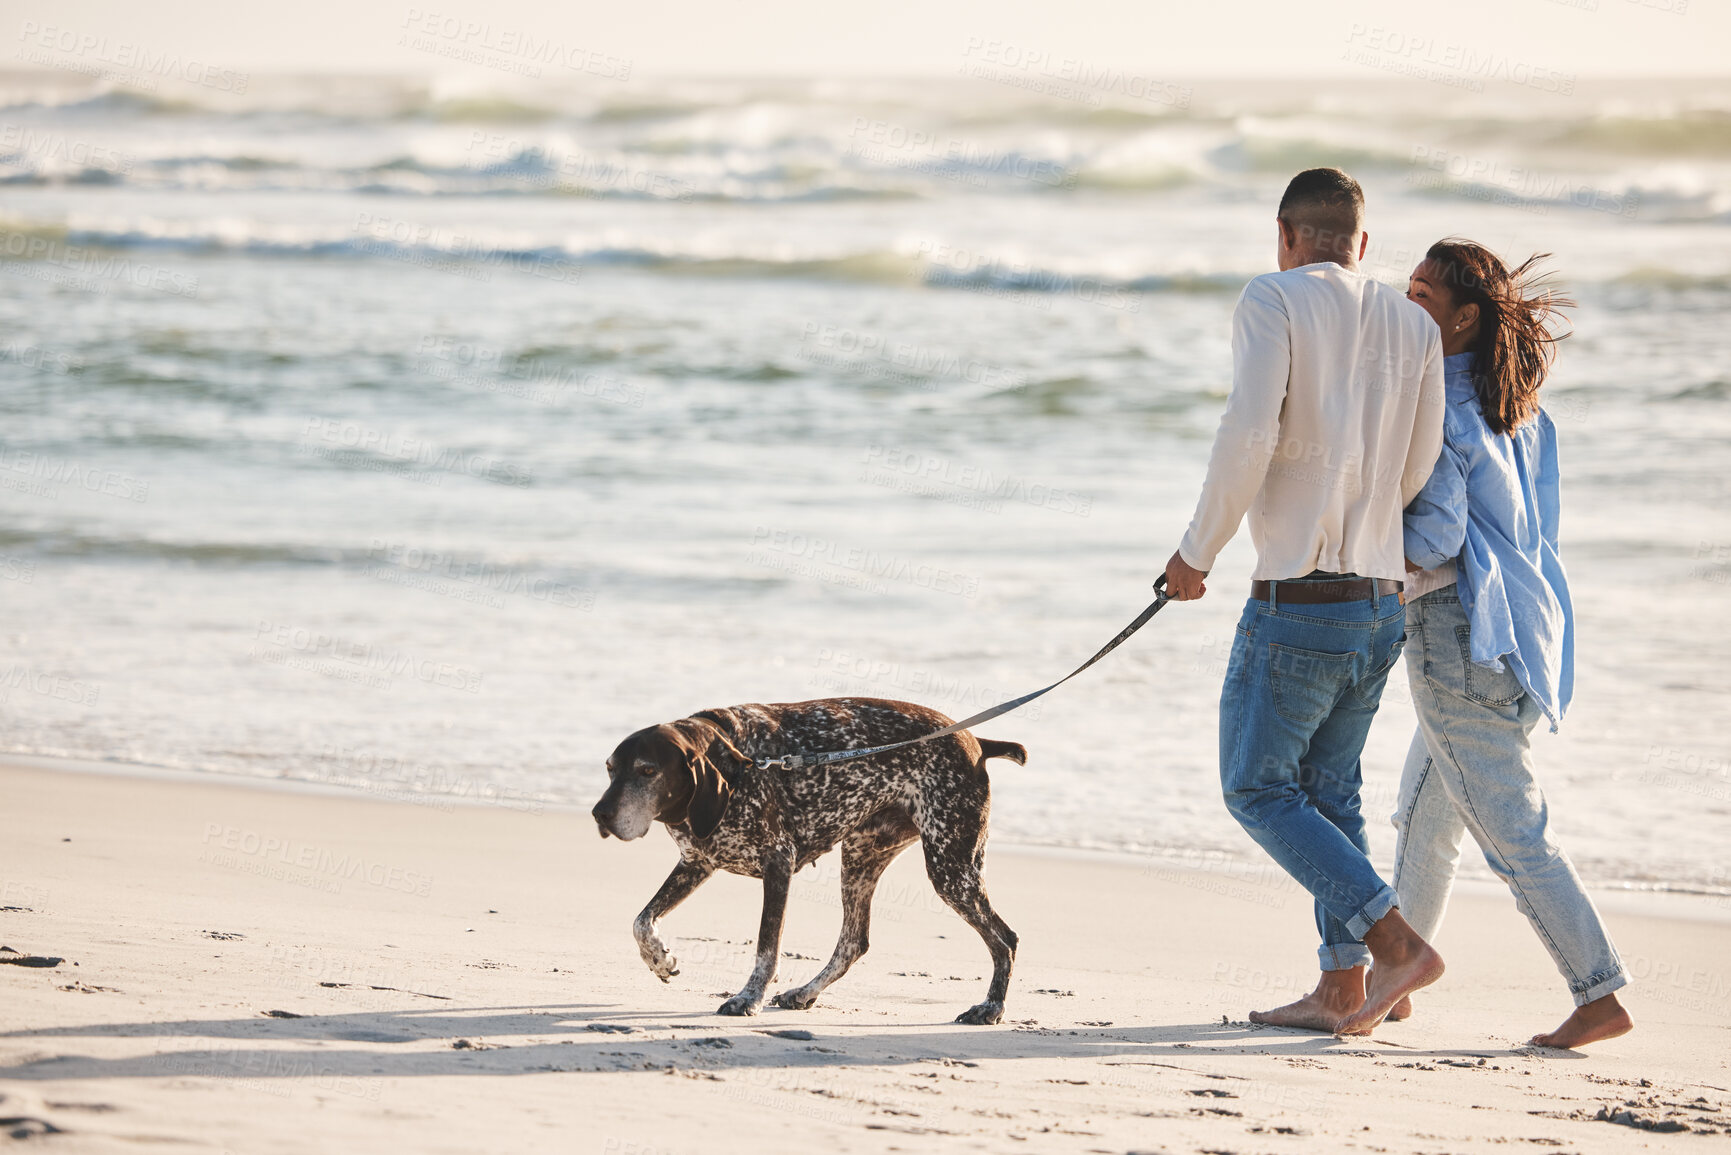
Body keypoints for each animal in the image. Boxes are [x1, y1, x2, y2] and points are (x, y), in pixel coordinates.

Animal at [595, 699, 1024, 1025]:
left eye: (647, 771)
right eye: (610, 768)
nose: (600, 814)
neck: (736, 761)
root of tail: (975, 740)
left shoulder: (777, 864)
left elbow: (766, 949)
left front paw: (748, 997)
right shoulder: (696, 863)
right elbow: (641, 920)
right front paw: (658, 959)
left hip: (950, 869)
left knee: (1005, 939)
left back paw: (990, 1007)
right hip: (862, 857)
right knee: (853, 942)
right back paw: (805, 992)